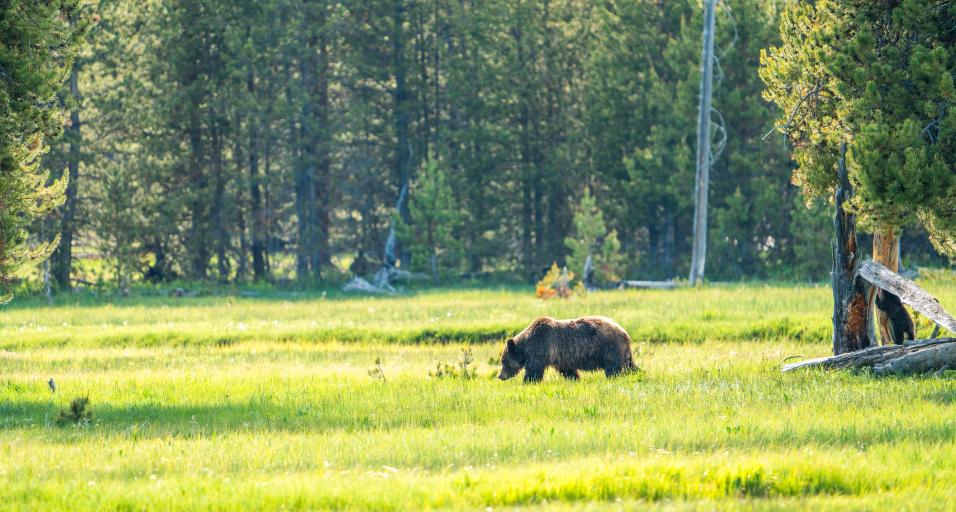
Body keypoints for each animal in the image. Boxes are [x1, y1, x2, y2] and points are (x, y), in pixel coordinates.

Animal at [498, 316, 637, 383]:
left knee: (612, 368)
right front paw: (575, 378)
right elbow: (567, 370)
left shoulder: (541, 348)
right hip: (623, 352)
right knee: (630, 365)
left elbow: (534, 370)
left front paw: (528, 381)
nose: (500, 376)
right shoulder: (559, 357)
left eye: (503, 361)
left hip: (610, 348)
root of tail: (625, 333)